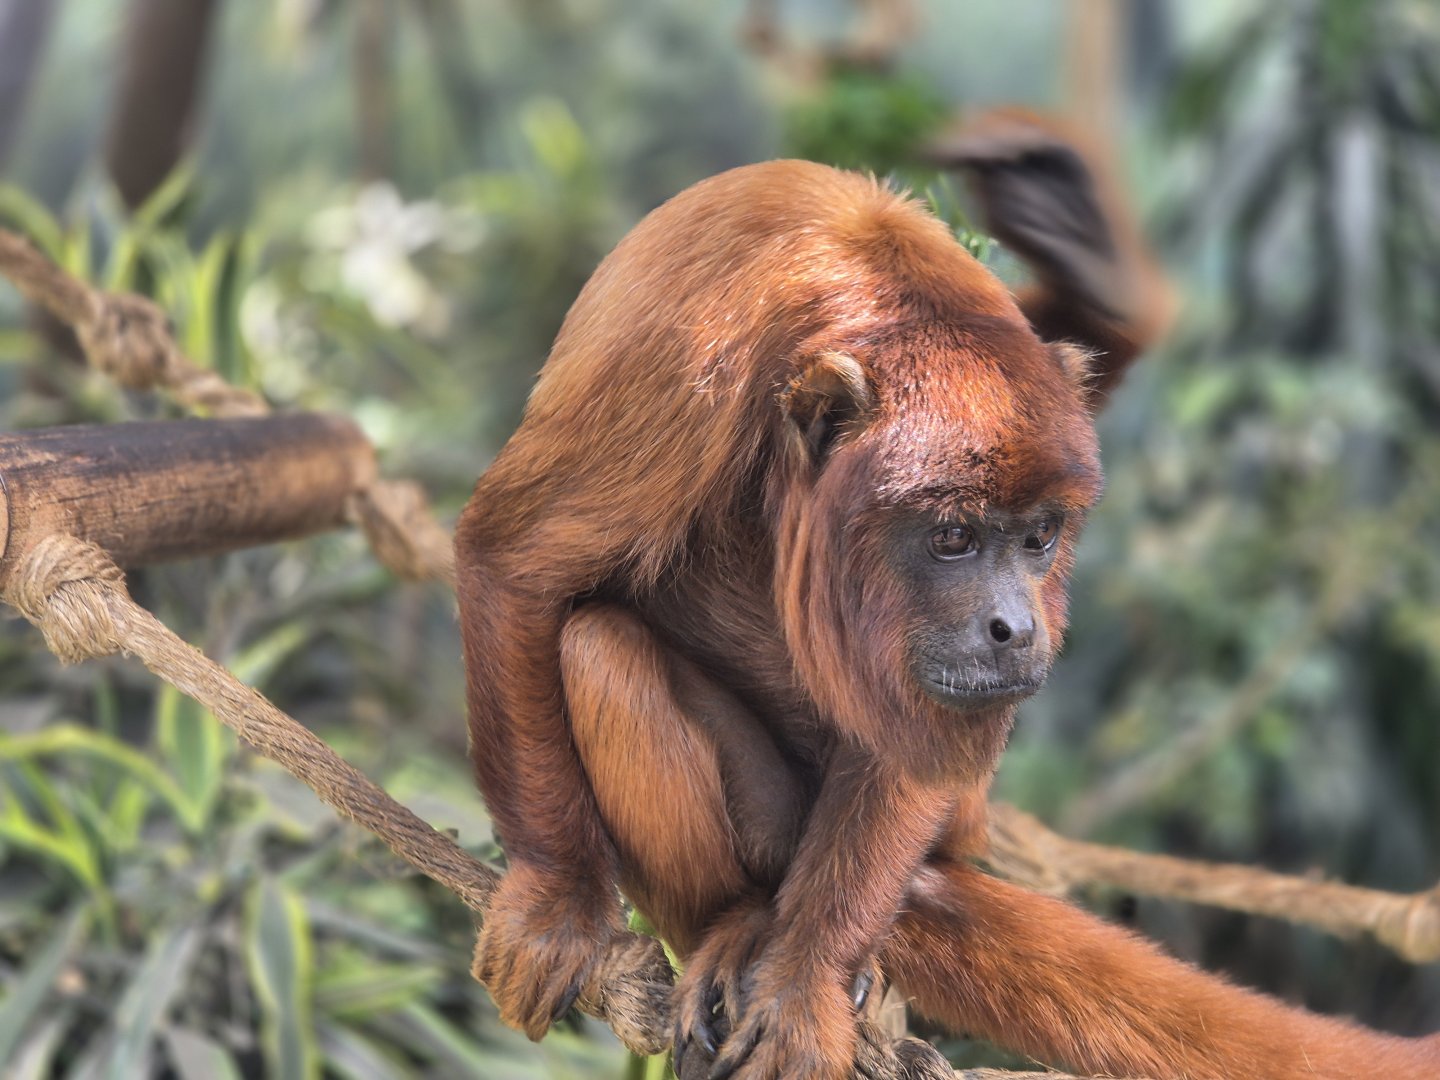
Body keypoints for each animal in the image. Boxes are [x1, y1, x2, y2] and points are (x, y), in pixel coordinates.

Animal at [455, 116, 1440, 1078]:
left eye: (1039, 537)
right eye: (953, 538)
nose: (1015, 627)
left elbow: (912, 734)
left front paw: (804, 984)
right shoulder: (685, 367)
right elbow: (516, 564)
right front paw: (557, 905)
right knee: (601, 649)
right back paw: (730, 921)